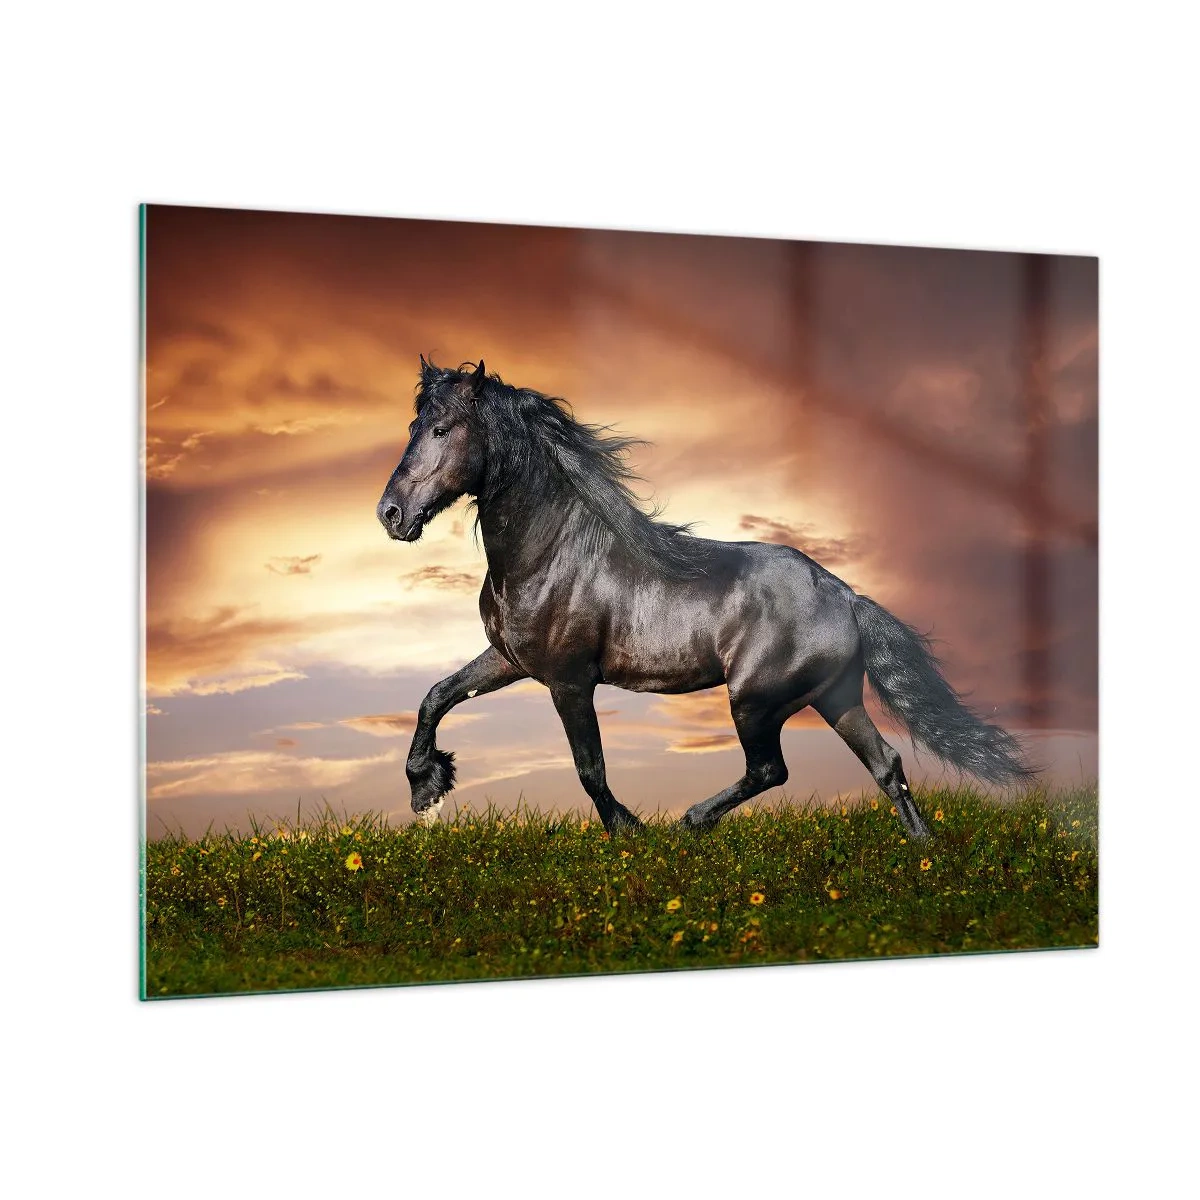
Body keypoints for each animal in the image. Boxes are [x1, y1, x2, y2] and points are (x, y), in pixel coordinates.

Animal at [376, 357, 1033, 836]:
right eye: (412, 427)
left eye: (441, 429)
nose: (391, 514)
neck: (551, 553)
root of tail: (847, 597)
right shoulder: (511, 660)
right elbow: (436, 696)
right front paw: (426, 786)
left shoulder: (568, 680)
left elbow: (590, 768)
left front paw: (629, 831)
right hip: (836, 698)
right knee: (886, 766)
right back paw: (924, 852)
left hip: (755, 701)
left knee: (771, 769)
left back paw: (691, 822)